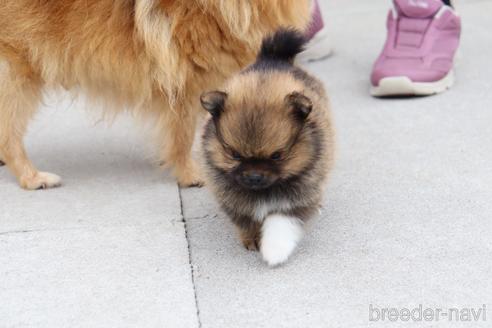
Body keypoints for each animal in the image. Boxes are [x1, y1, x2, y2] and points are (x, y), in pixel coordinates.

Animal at [0, 0, 308, 190]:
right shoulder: (187, 83)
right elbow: (182, 136)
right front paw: (191, 175)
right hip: (16, 76)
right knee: (9, 136)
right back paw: (32, 177)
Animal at [200, 29, 334, 266]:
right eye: (234, 154)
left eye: (277, 156)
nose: (254, 177)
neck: (263, 192)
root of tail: (273, 58)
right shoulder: (232, 197)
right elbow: (247, 219)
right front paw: (253, 238)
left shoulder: (297, 196)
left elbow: (282, 223)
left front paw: (274, 250)